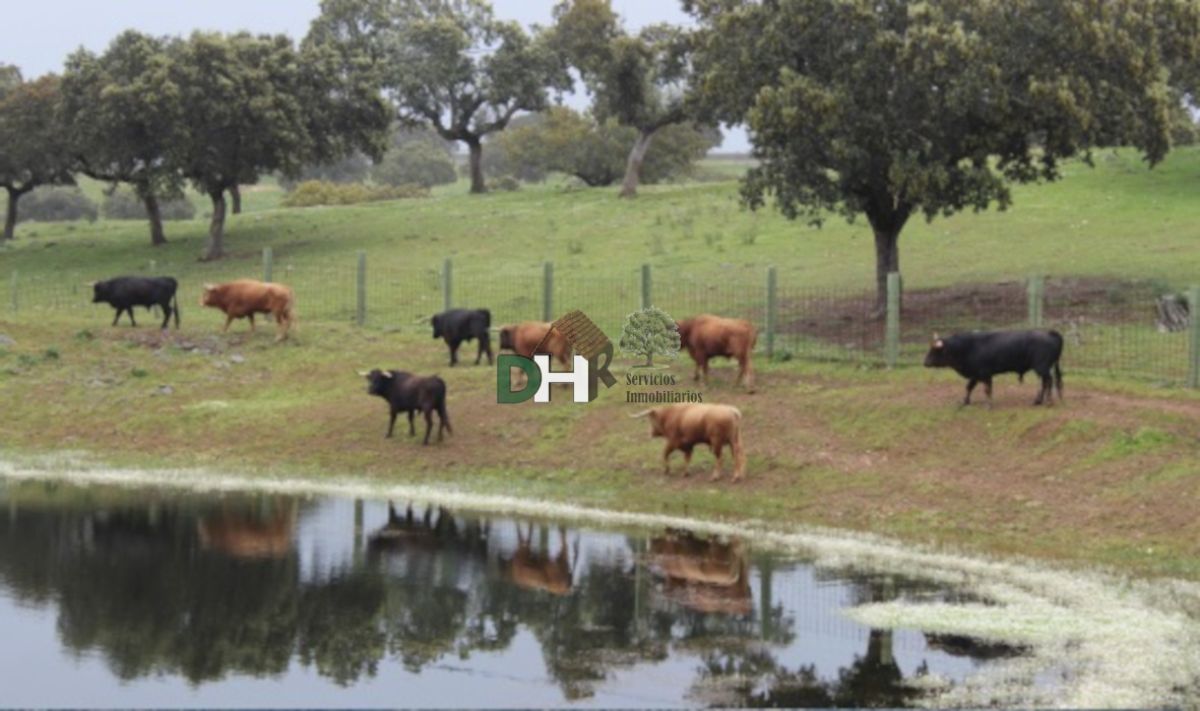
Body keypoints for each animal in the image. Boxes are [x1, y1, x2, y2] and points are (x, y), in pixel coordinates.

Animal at [921, 326, 1065, 405]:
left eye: (934, 351)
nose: (925, 362)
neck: (967, 347)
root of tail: (1049, 333)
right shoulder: (975, 374)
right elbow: (969, 387)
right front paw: (965, 401)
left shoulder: (985, 374)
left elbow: (987, 389)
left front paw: (988, 404)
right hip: (1042, 369)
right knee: (1045, 382)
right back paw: (1038, 401)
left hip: (1042, 368)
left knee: (1048, 381)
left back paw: (1048, 401)